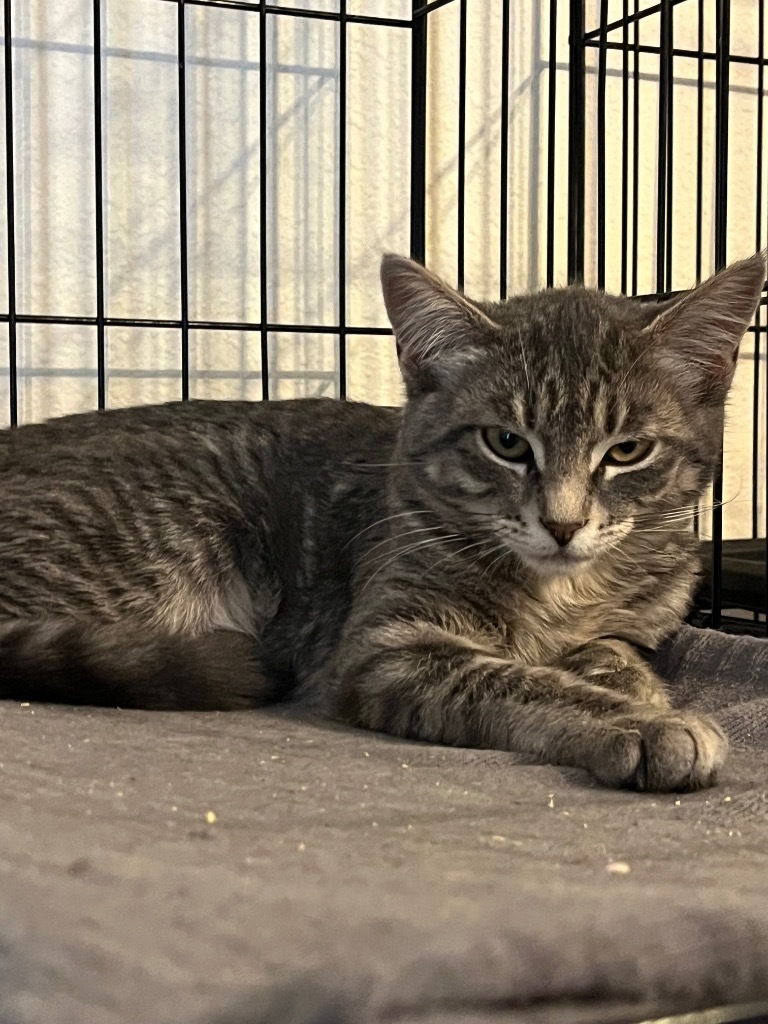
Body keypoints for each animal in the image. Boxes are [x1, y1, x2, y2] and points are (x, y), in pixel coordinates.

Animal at [0, 253, 765, 790]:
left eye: (627, 451)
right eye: (507, 443)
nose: (563, 524)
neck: (559, 594)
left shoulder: (640, 620)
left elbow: (615, 652)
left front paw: (638, 692)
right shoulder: (386, 646)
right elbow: (513, 678)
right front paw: (642, 724)